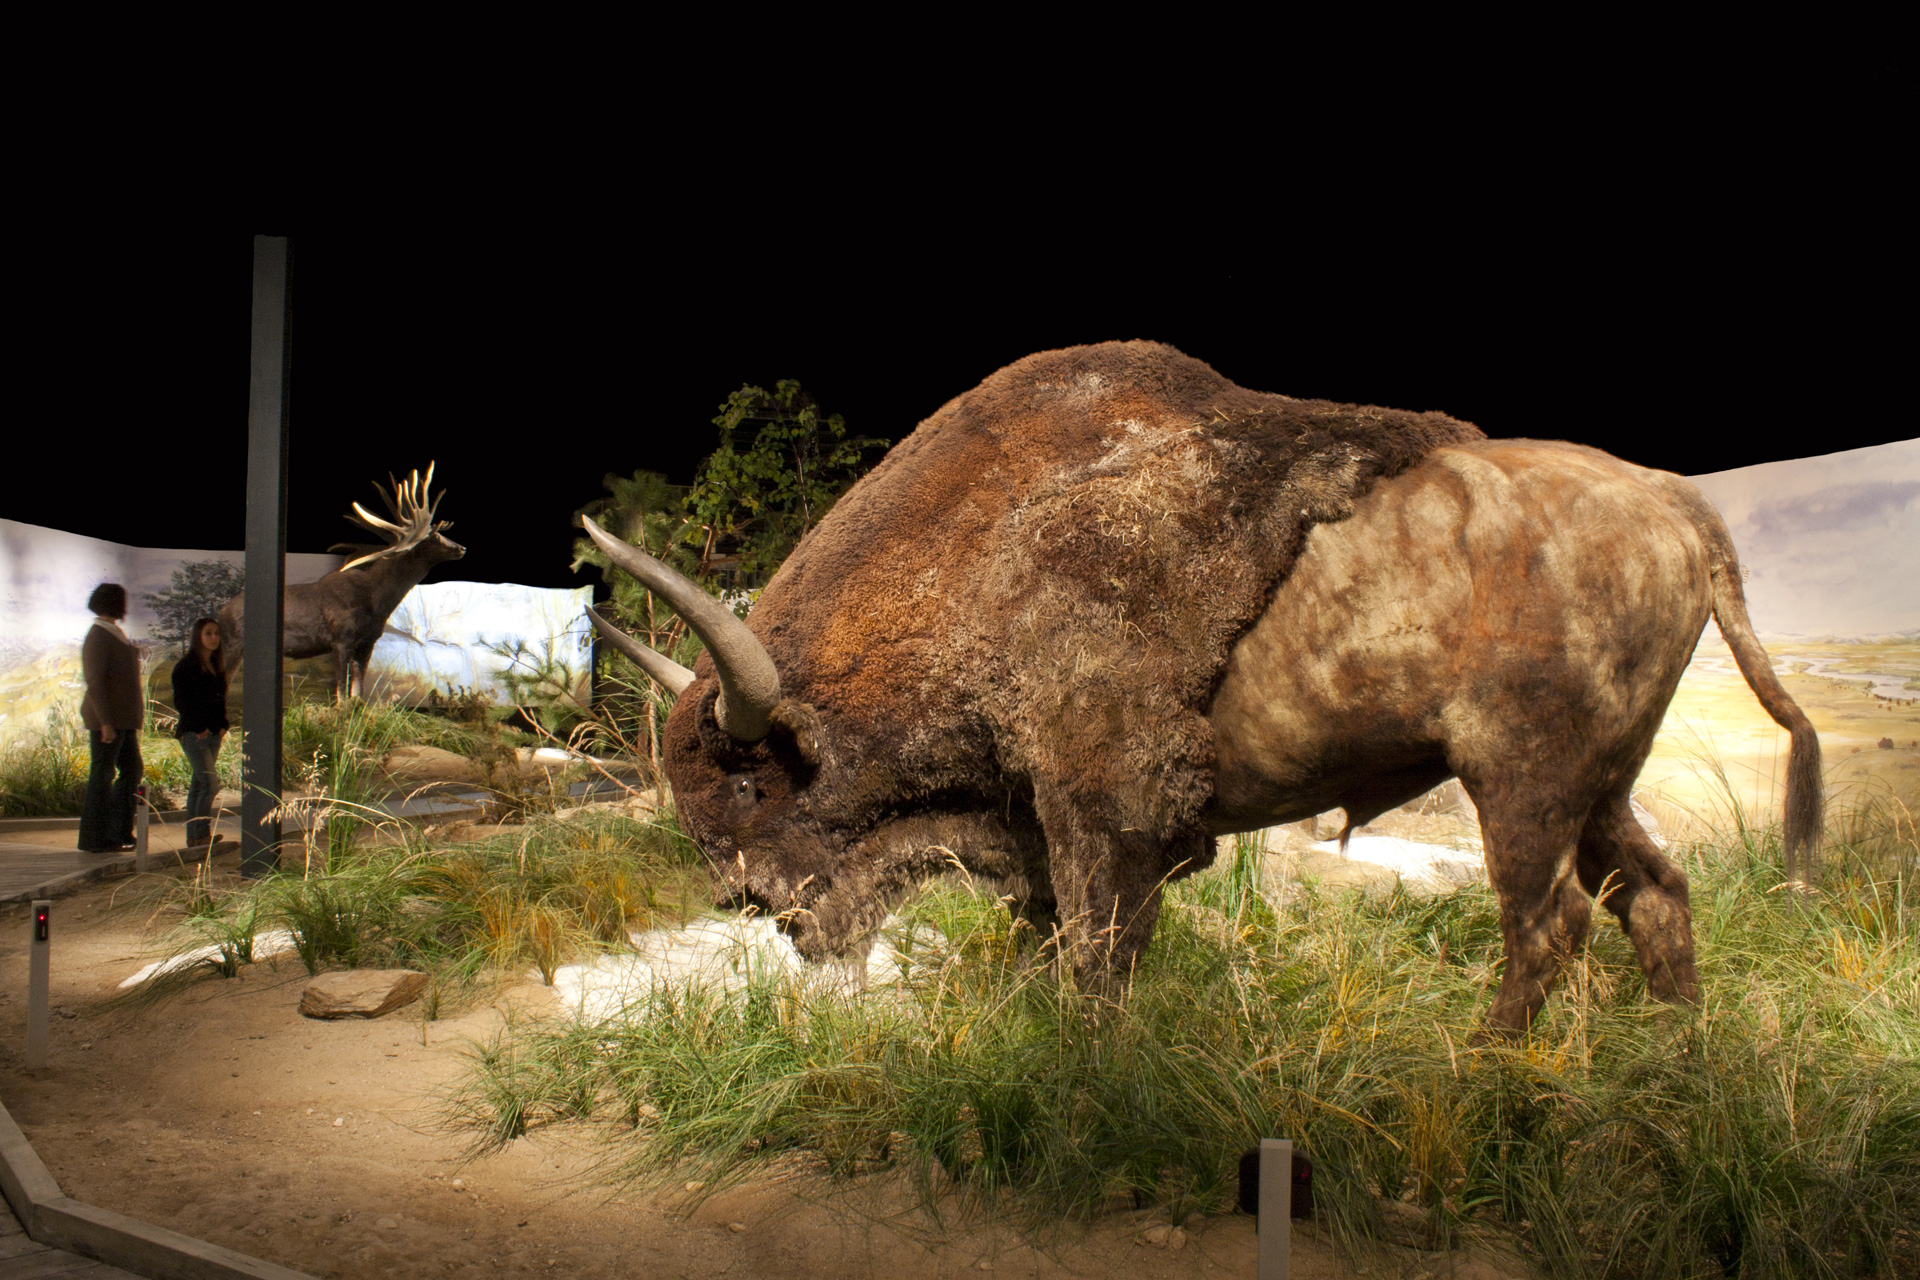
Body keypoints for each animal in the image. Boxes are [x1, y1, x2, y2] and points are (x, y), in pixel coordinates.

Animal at [591, 345, 1820, 1036]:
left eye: (749, 788)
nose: (753, 904)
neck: (982, 555)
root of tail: (1676, 503)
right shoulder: (1040, 823)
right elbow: (1052, 942)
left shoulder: (1104, 815)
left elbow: (1099, 957)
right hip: (1603, 782)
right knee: (1653, 891)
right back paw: (1677, 1063)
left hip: (1520, 779)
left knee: (1548, 919)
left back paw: (1487, 1067)